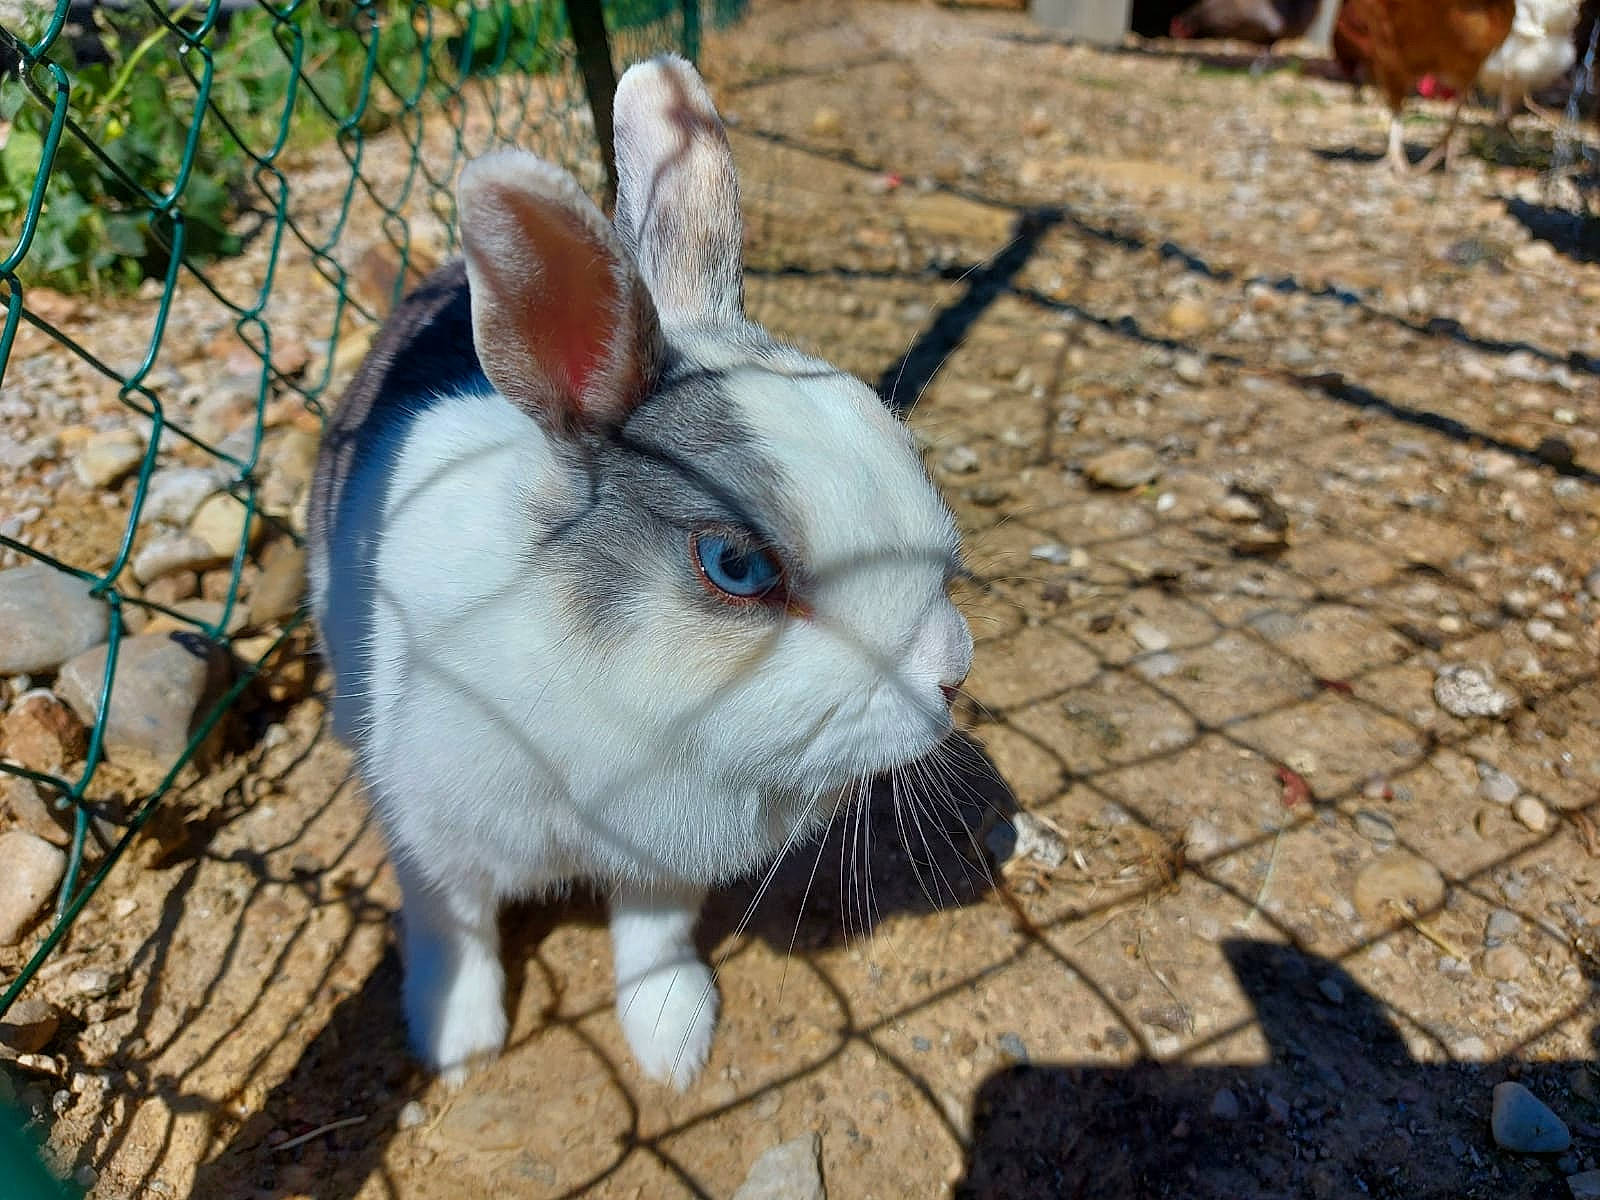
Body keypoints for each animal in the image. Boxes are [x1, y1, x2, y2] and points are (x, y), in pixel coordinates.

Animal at [307, 53, 973, 1090]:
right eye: (736, 566)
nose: (953, 673)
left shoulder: (661, 860)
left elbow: (652, 939)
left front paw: (673, 1041)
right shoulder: (434, 843)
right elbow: (455, 930)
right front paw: (458, 1040)